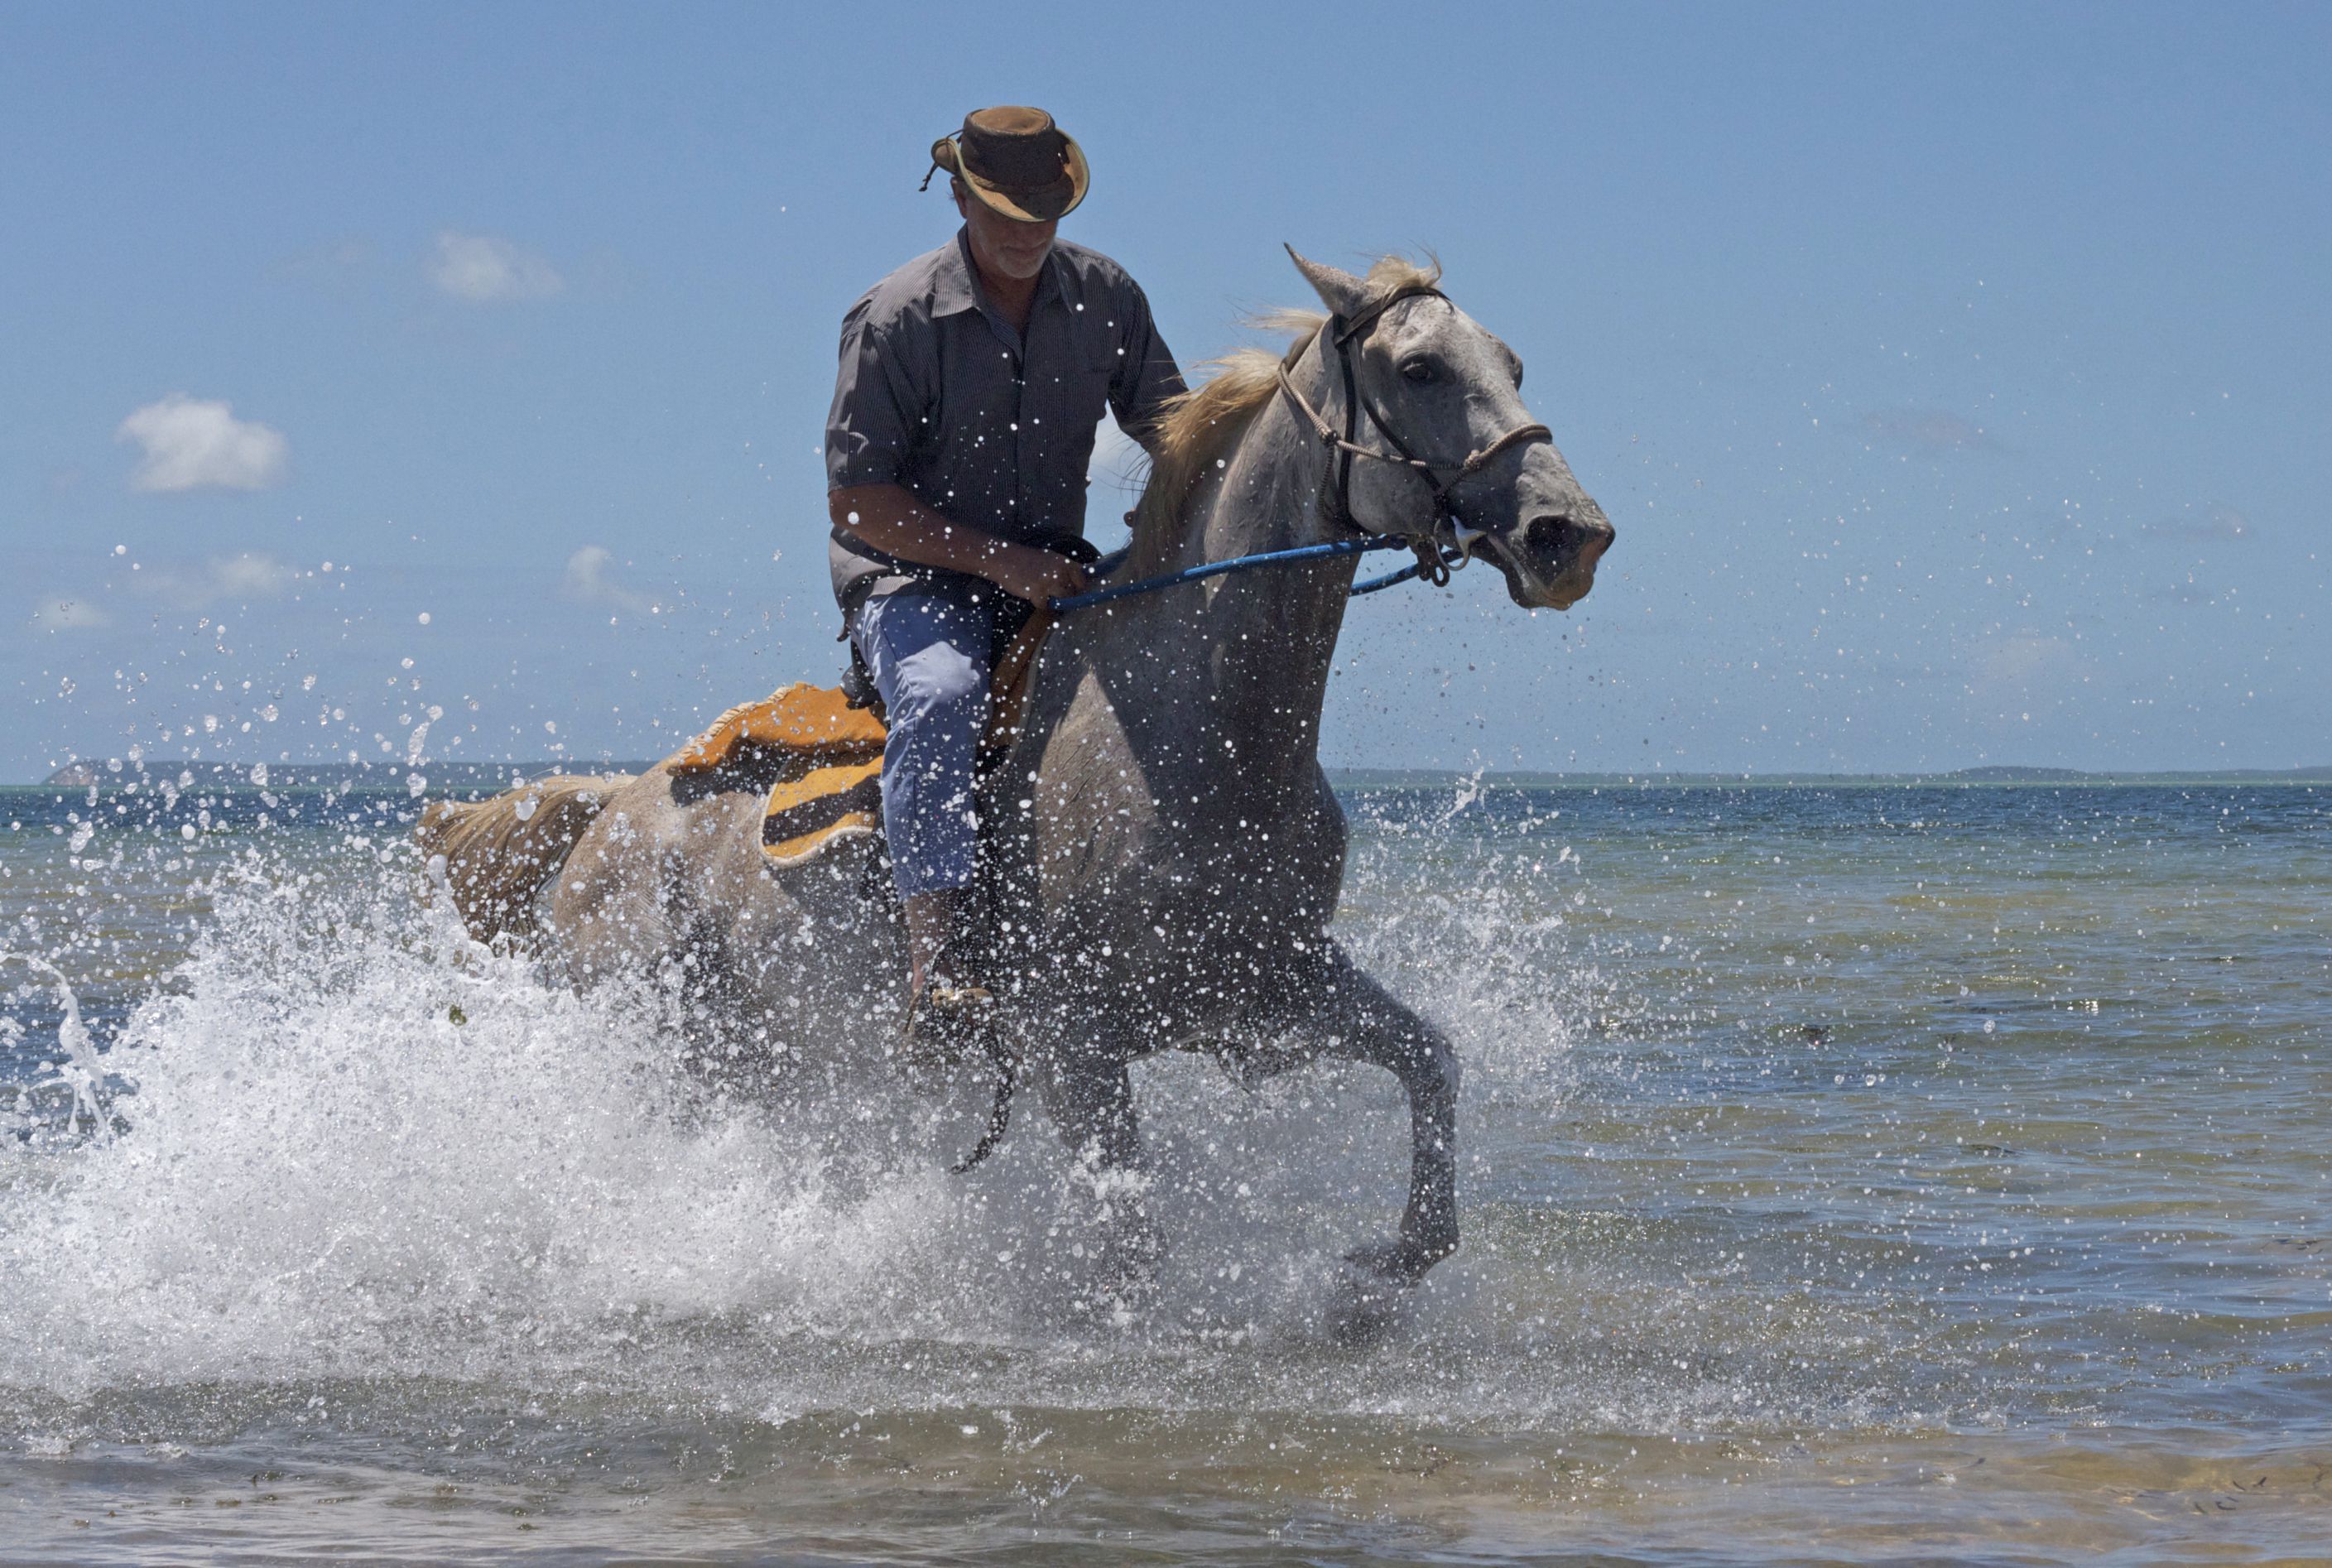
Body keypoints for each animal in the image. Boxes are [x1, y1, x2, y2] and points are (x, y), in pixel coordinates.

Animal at [424, 250, 1604, 1287]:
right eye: (1420, 368)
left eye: (1512, 361)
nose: (1569, 533)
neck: (1198, 740)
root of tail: (611, 813)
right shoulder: (1075, 1047)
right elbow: (1130, 1236)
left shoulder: (1272, 989)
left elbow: (1431, 1060)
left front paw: (1383, 1273)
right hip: (676, 1054)